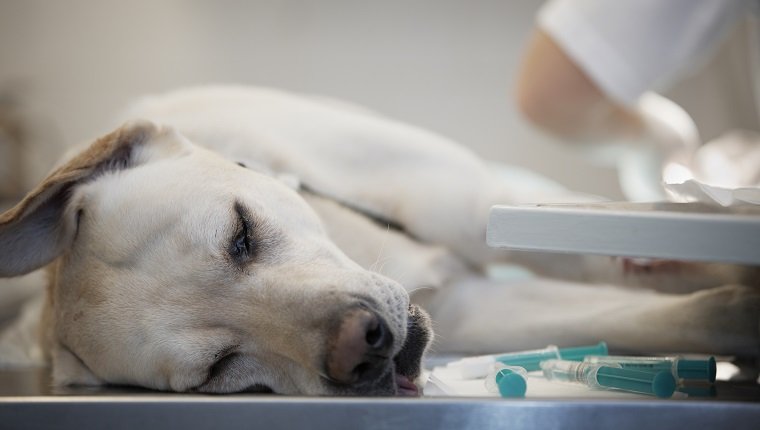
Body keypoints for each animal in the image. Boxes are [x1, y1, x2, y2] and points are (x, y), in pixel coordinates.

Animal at [1, 85, 760, 394]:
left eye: (240, 233)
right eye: (218, 369)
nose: (361, 346)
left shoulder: (486, 212)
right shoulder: (473, 310)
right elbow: (678, 316)